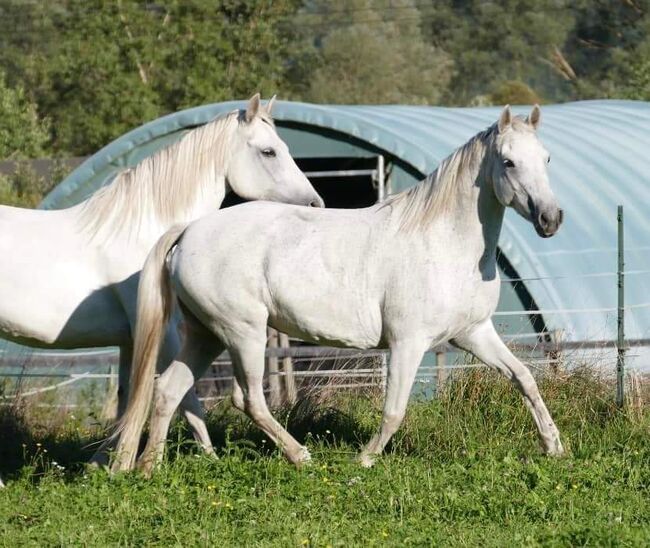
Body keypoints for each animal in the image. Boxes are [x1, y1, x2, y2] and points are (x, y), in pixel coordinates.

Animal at [0, 94, 322, 476]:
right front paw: (205, 460)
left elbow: (129, 397)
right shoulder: (164, 332)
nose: (316, 204)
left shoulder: (130, 339)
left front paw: (105, 464)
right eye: (269, 151)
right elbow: (186, 397)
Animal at [111, 105, 560, 474]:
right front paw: (364, 459)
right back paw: (300, 456)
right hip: (242, 333)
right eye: (508, 161)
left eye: (546, 158)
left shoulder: (474, 333)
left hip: (206, 335)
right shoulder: (408, 343)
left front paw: (553, 446)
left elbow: (524, 378)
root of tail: (189, 229)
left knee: (168, 390)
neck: (444, 242)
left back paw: (148, 468)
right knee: (249, 399)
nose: (550, 219)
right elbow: (394, 410)